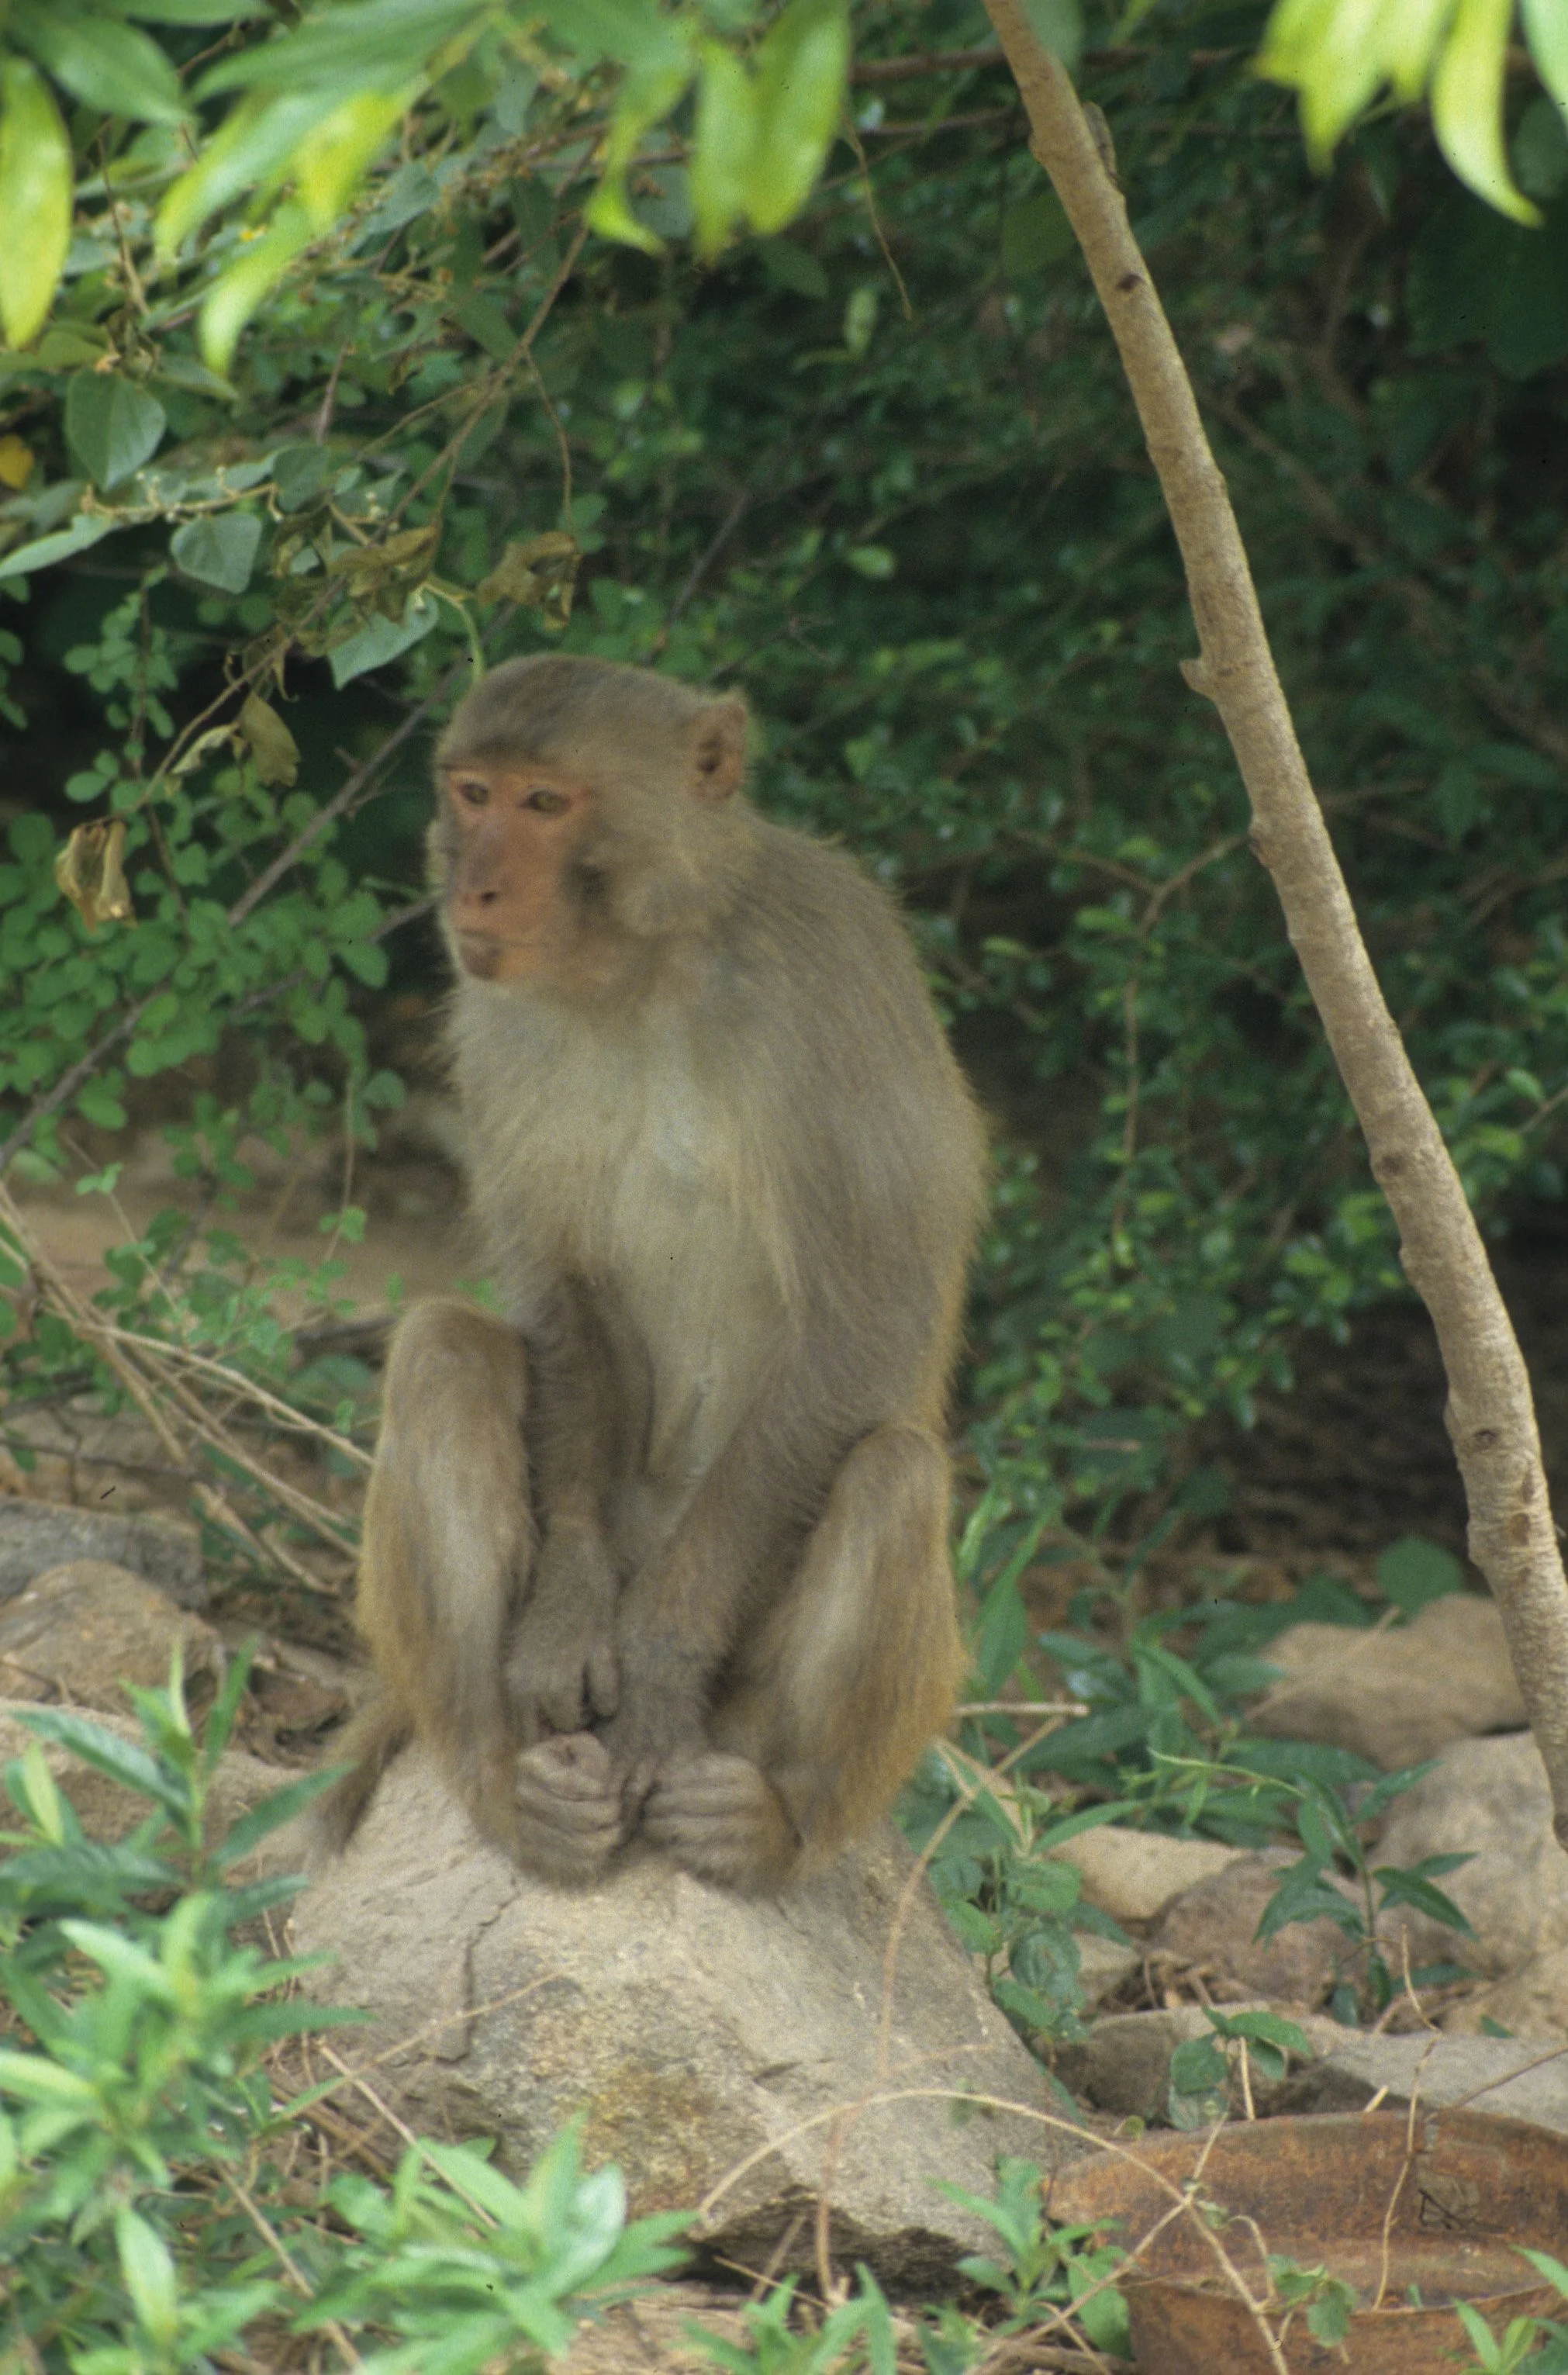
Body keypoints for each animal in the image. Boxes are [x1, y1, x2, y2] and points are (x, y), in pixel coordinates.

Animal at [318, 654, 986, 1893]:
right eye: (475, 793)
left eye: (546, 804)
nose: (477, 890)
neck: (646, 966)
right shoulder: (495, 1020)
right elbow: (559, 1303)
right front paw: (569, 1617)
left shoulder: (830, 975)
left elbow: (862, 1325)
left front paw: (662, 1661)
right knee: (442, 1351)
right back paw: (500, 1776)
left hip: (744, 1699)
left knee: (893, 1472)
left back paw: (775, 1825)